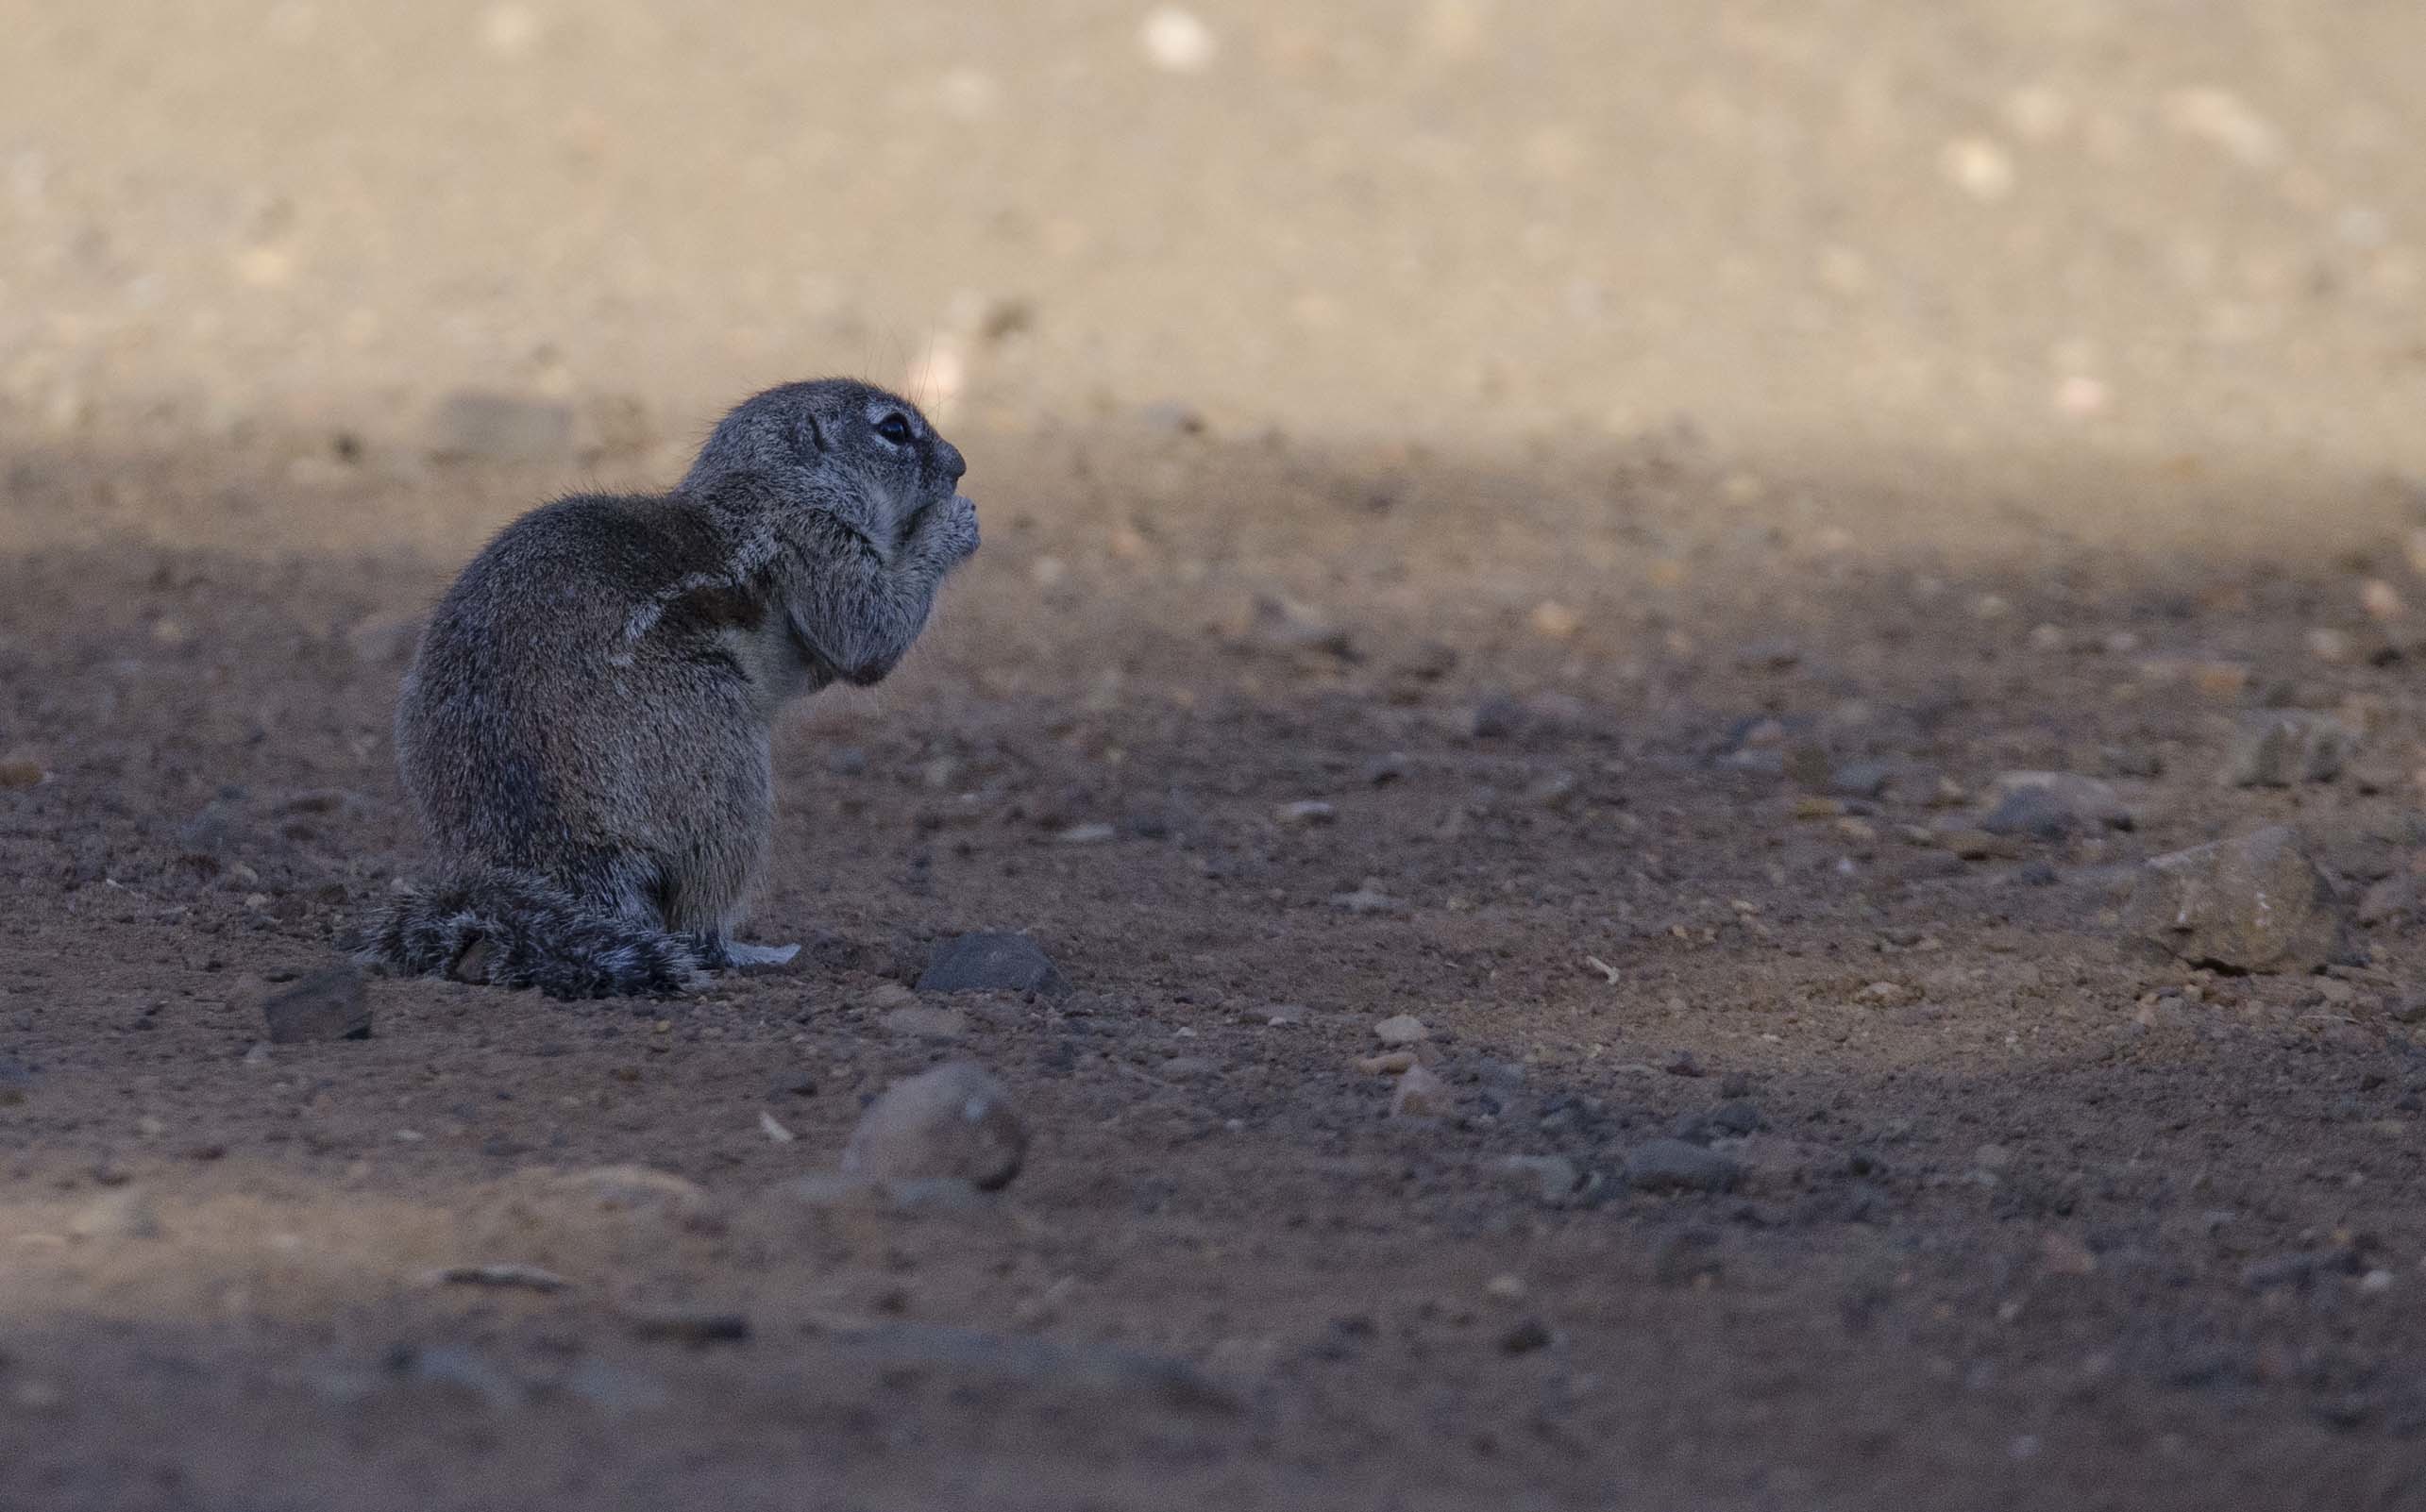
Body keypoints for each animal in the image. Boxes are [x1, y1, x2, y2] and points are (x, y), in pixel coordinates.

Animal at [356, 378, 975, 1000]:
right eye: (894, 429)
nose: (961, 465)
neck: (772, 486)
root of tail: (550, 860)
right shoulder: (819, 542)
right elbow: (869, 635)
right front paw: (953, 524)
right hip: (723, 768)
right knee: (699, 925)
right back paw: (751, 952)